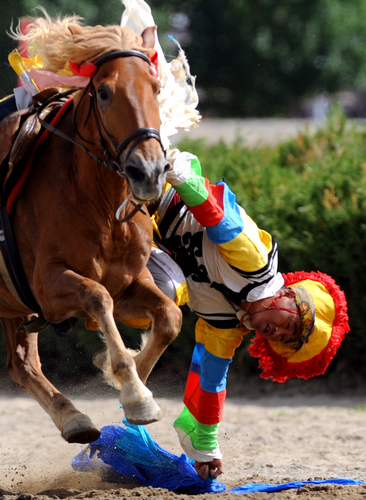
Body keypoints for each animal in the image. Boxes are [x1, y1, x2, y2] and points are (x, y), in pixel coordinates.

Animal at [1, 12, 182, 442]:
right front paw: (133, 388)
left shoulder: (129, 282)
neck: (99, 203)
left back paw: (73, 418)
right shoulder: (48, 286)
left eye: (155, 88)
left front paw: (128, 375)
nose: (149, 171)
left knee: (22, 364)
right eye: (103, 92)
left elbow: (170, 317)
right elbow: (98, 297)